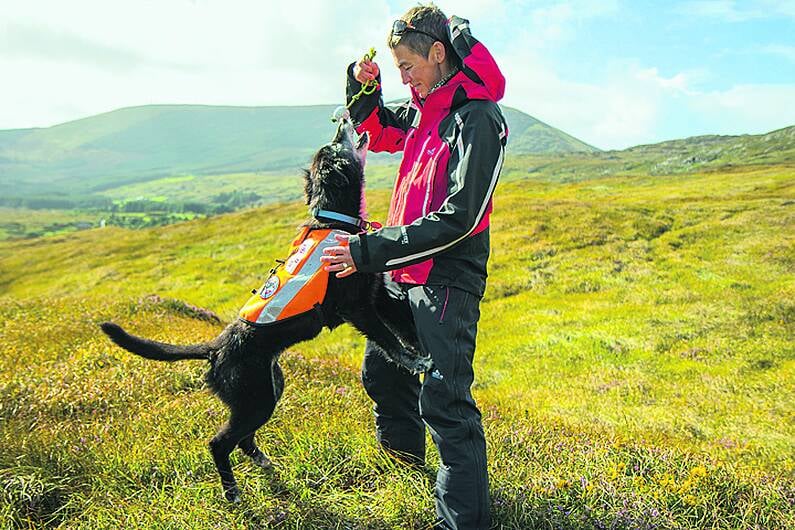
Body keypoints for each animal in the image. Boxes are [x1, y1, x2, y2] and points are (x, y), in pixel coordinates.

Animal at [99, 118, 430, 500]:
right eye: (335, 143)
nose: (345, 119)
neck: (334, 220)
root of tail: (214, 349)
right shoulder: (357, 307)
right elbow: (389, 342)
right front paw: (415, 361)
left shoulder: (375, 297)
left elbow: (402, 329)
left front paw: (420, 349)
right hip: (254, 398)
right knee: (219, 443)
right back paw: (232, 492)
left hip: (269, 388)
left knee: (242, 440)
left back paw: (264, 463)